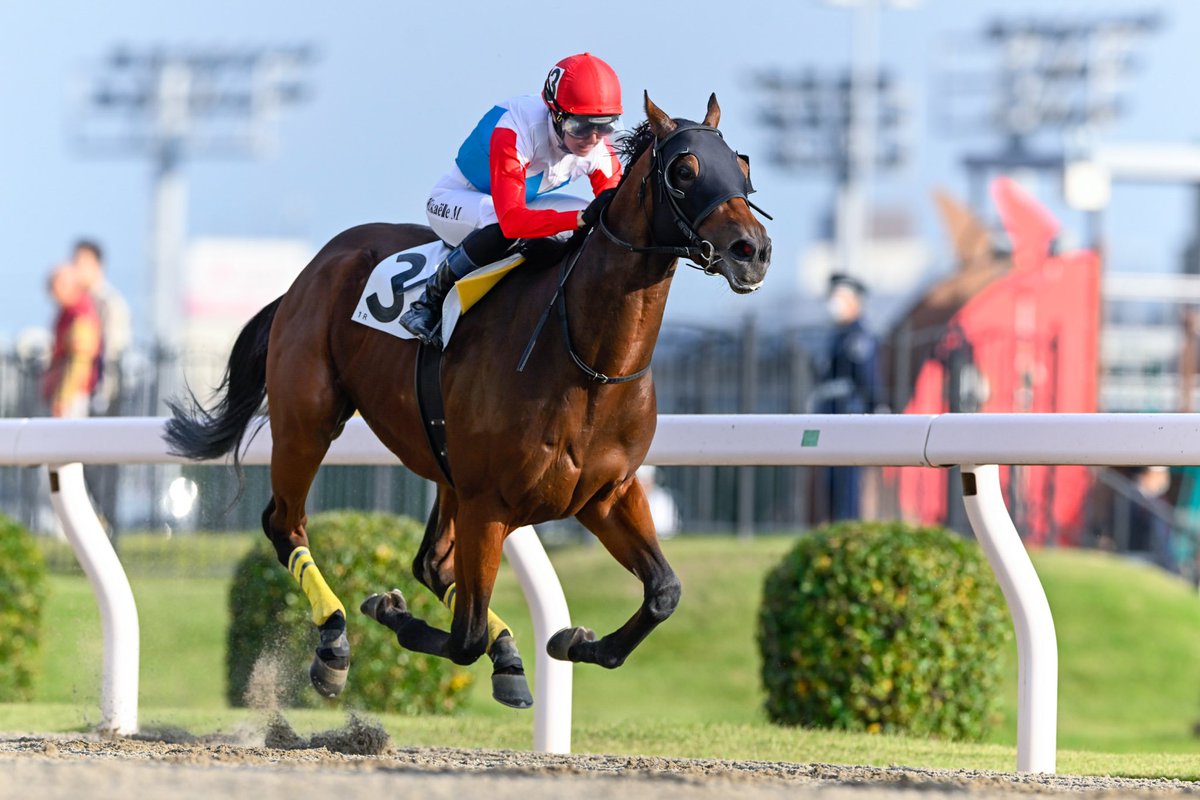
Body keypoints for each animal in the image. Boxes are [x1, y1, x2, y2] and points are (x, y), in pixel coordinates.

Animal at [164, 92, 772, 709]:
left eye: (741, 165)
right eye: (684, 171)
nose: (753, 250)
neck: (587, 363)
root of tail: (313, 269)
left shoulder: (607, 495)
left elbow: (663, 591)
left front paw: (575, 641)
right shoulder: (490, 504)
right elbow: (464, 637)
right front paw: (390, 611)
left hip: (443, 463)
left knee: (431, 564)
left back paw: (506, 655)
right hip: (308, 422)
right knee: (286, 524)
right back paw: (334, 642)